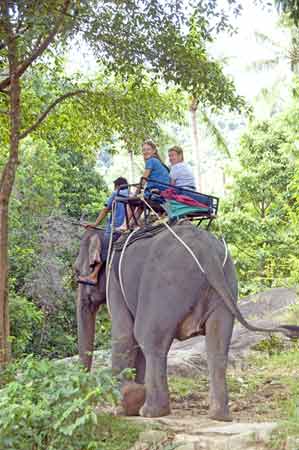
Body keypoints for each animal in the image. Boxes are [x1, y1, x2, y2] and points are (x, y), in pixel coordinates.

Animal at [75, 221, 299, 422]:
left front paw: (122, 408)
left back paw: (150, 412)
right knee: (217, 346)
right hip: (225, 287)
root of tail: (207, 254)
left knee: (148, 338)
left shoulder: (114, 283)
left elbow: (124, 335)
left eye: (77, 271)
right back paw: (219, 416)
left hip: (165, 285)